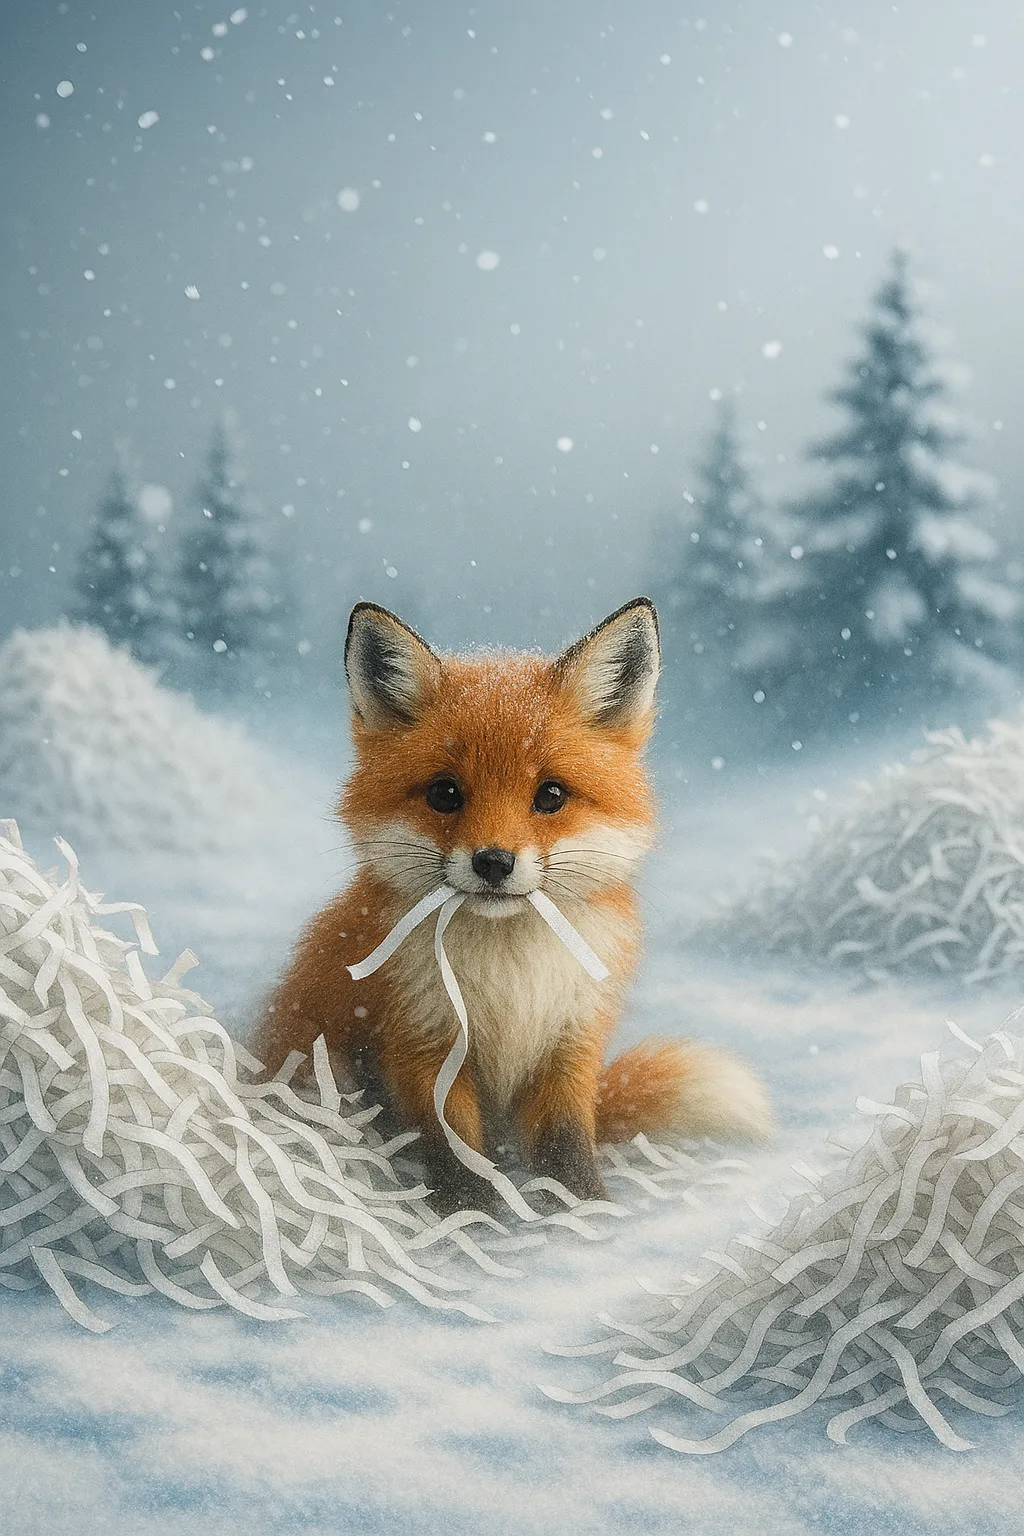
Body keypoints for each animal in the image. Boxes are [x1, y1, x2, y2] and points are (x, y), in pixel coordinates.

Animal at [252, 597, 772, 1214]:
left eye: (551, 795)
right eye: (444, 793)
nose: (493, 862)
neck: (510, 972)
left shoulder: (571, 1041)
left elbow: (565, 1144)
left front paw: (586, 1215)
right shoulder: (421, 1040)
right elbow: (455, 1148)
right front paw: (473, 1218)